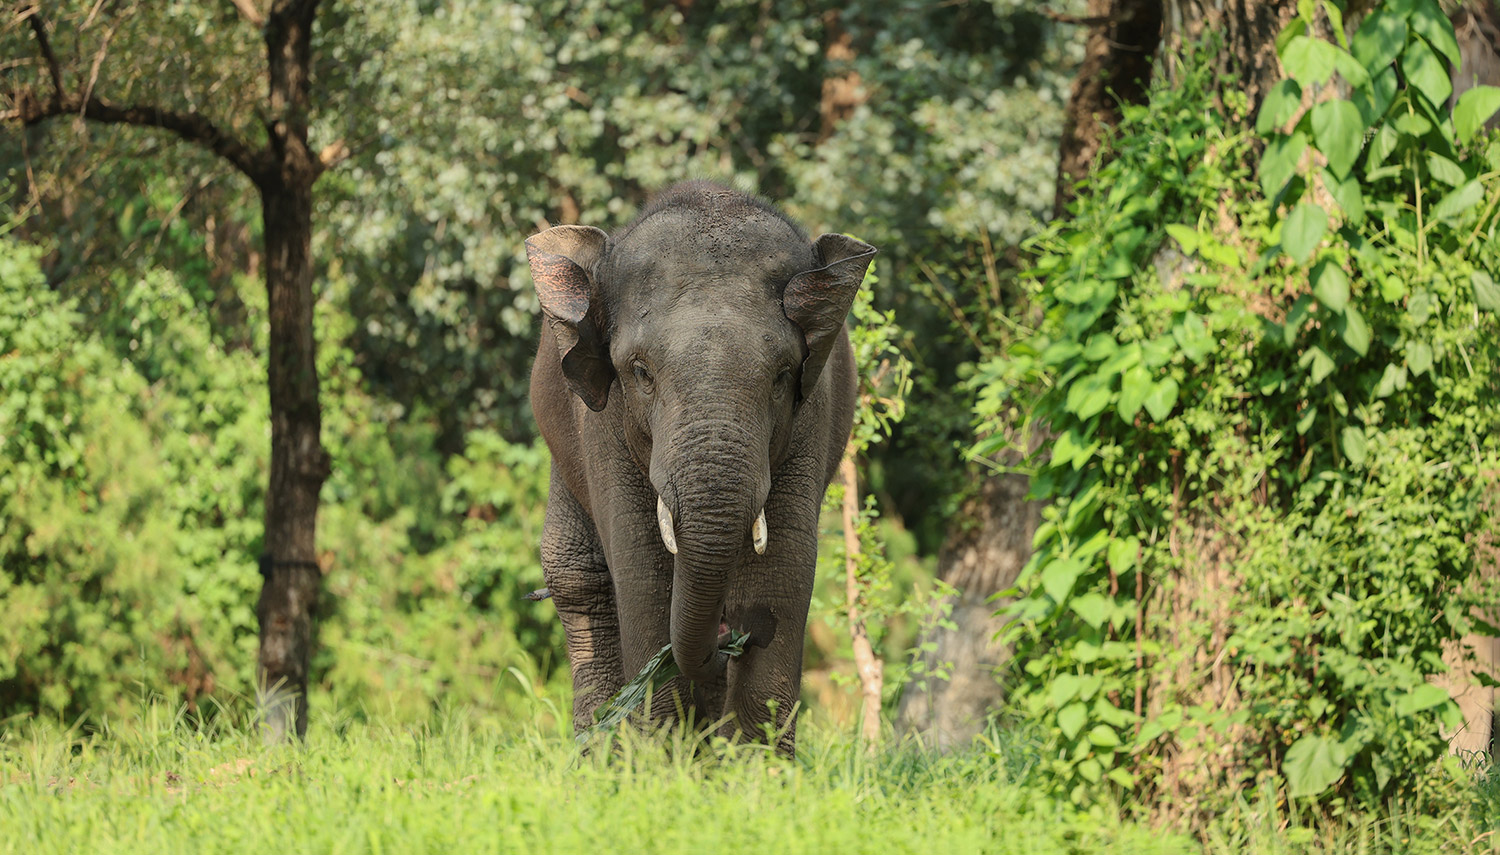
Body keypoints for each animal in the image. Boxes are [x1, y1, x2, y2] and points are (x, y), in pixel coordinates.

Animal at [526, 181, 875, 754]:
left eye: (783, 374)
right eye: (640, 371)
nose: (731, 641)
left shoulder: (812, 416)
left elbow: (781, 572)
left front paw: (758, 767)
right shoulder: (603, 425)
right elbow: (643, 574)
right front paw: (660, 763)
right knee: (577, 576)